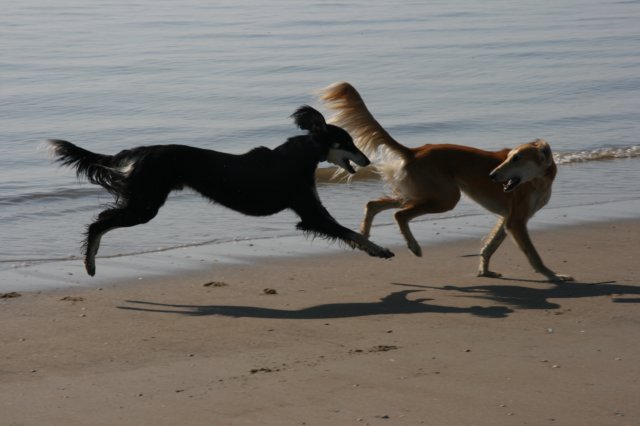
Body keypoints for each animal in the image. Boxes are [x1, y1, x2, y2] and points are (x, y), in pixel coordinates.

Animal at [47, 105, 392, 274]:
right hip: (145, 204)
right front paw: (380, 249)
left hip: (143, 200)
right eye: (347, 142)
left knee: (102, 220)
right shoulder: (310, 213)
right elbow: (350, 232)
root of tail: (145, 150)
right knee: (99, 223)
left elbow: (349, 233)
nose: (367, 159)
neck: (300, 156)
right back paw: (90, 263)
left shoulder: (309, 213)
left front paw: (376, 249)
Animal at [322, 83, 572, 282]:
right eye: (510, 157)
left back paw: (365, 233)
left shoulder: (508, 219)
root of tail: (415, 151)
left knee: (374, 204)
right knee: (400, 214)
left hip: (422, 193)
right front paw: (552, 275)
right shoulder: (516, 222)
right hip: (444, 198)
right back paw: (413, 246)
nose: (492, 176)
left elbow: (490, 246)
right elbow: (533, 255)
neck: (538, 181)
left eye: (517, 158)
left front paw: (484, 271)